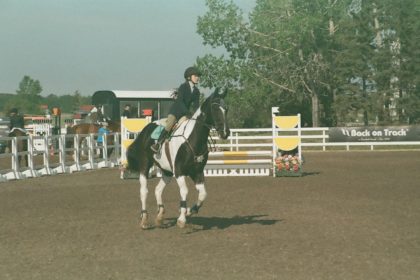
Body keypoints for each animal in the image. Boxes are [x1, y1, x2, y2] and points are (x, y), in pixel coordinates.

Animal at [125, 88, 230, 230]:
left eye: (226, 109)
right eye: (214, 108)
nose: (225, 133)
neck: (193, 139)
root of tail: (145, 130)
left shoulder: (197, 172)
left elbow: (203, 194)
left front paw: (190, 211)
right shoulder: (179, 172)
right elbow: (184, 191)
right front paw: (181, 219)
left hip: (167, 171)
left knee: (158, 190)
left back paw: (160, 216)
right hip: (145, 165)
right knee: (144, 191)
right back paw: (144, 219)